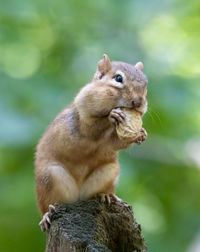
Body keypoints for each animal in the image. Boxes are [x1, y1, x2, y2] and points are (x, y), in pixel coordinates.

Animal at [34, 54, 148, 231]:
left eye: (146, 83)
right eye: (118, 78)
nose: (138, 102)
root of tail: (78, 196)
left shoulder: (108, 144)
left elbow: (116, 143)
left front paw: (140, 134)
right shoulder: (83, 120)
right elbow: (92, 128)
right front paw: (113, 116)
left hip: (109, 171)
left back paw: (106, 196)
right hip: (49, 177)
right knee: (47, 204)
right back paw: (46, 215)